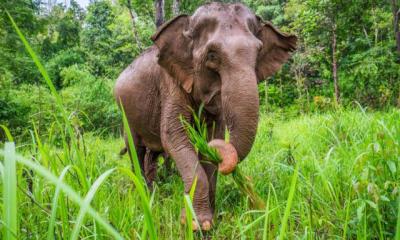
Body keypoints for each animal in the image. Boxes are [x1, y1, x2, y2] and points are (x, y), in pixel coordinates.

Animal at [114, 1, 296, 231]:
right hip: (125, 114)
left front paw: (211, 219)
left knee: (151, 154)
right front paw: (195, 224)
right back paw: (145, 196)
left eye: (259, 51)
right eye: (212, 55)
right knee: (136, 149)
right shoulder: (170, 82)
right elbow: (174, 134)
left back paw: (155, 190)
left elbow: (213, 137)